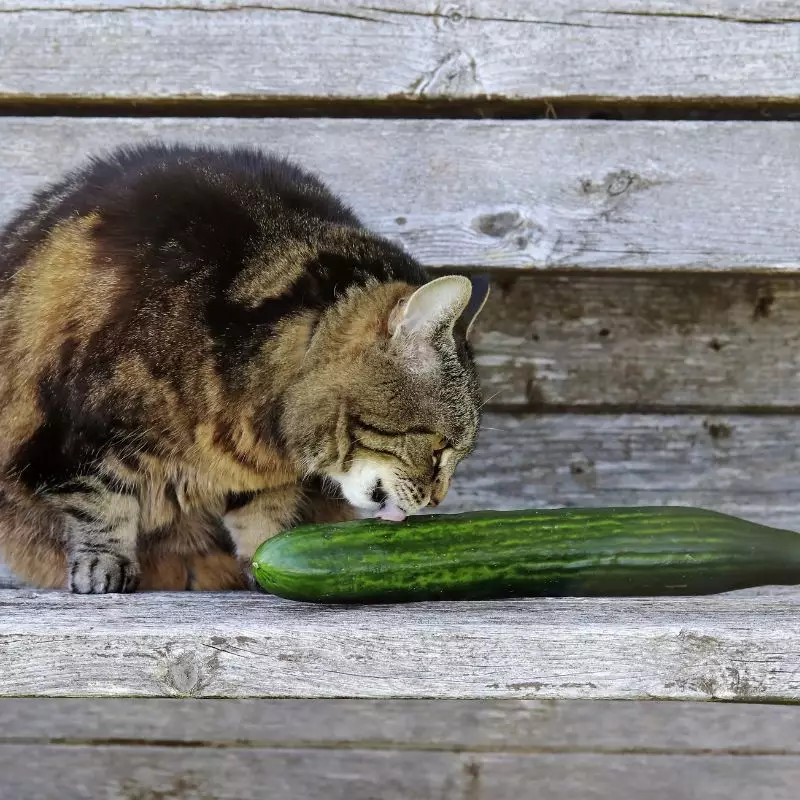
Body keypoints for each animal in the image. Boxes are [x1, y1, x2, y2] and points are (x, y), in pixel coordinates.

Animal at [0, 145, 488, 592]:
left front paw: (264, 559)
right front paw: (104, 565)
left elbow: (263, 518)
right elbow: (100, 502)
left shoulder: (257, 471)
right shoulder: (80, 434)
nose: (438, 500)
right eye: (438, 448)